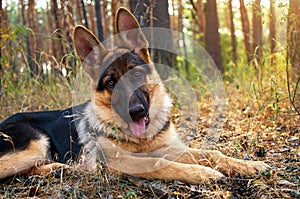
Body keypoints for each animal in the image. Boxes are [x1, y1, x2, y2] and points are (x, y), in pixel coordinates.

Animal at [0, 7, 268, 183]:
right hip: (35, 144)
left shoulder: (170, 148)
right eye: (110, 82)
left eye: (137, 74)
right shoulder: (123, 161)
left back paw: (57, 169)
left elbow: (211, 153)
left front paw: (248, 165)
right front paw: (203, 174)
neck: (142, 140)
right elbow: (159, 163)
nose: (136, 112)